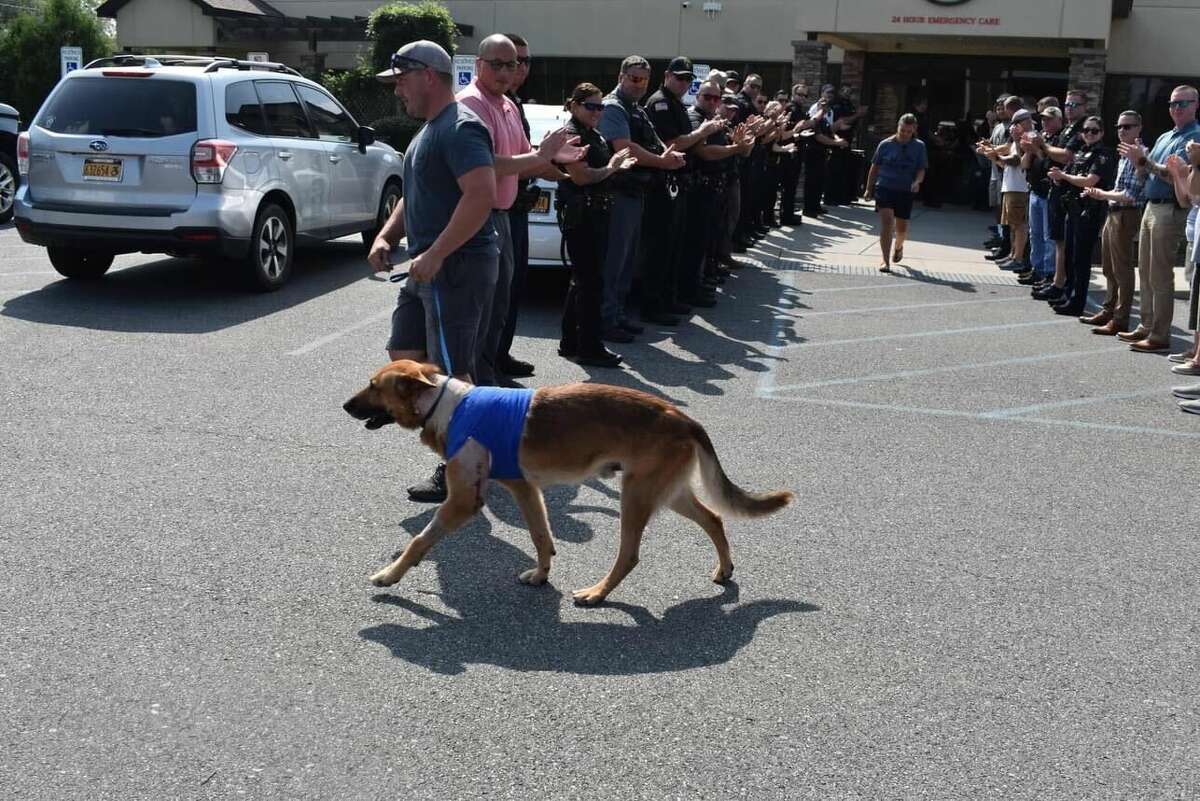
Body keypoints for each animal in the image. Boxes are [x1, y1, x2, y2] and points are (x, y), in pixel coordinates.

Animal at [345, 359, 796, 604]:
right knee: (714, 519)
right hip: (669, 493)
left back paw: (597, 593)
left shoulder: (461, 503)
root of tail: (682, 417)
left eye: (372, 386)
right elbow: (541, 537)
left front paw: (390, 575)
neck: (446, 404)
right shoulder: (526, 490)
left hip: (636, 496)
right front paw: (541, 575)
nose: (344, 405)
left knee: (630, 556)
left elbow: (419, 541)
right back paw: (724, 568)